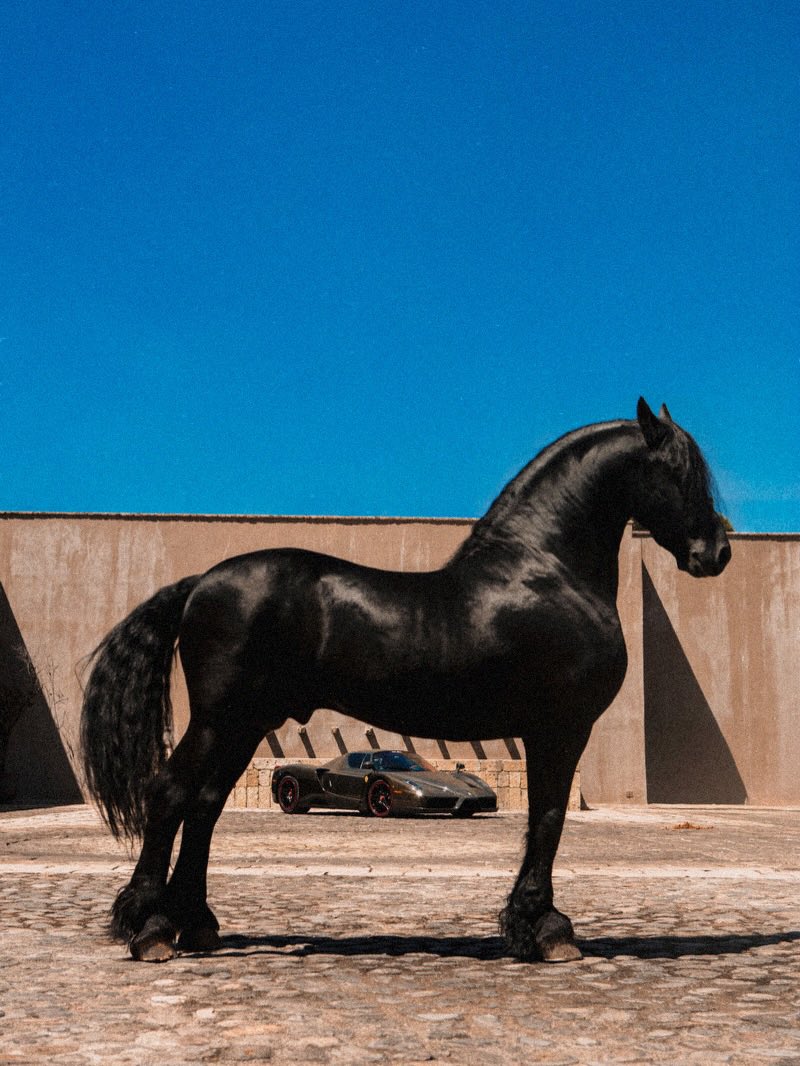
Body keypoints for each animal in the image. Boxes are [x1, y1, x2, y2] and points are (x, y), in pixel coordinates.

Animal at [81, 398, 730, 964]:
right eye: (678, 470)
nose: (716, 552)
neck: (546, 572)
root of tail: (200, 584)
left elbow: (543, 819)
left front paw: (529, 927)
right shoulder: (561, 728)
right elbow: (548, 819)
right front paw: (547, 931)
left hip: (243, 725)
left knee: (206, 805)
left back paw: (197, 925)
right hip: (220, 720)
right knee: (171, 794)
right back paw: (150, 930)